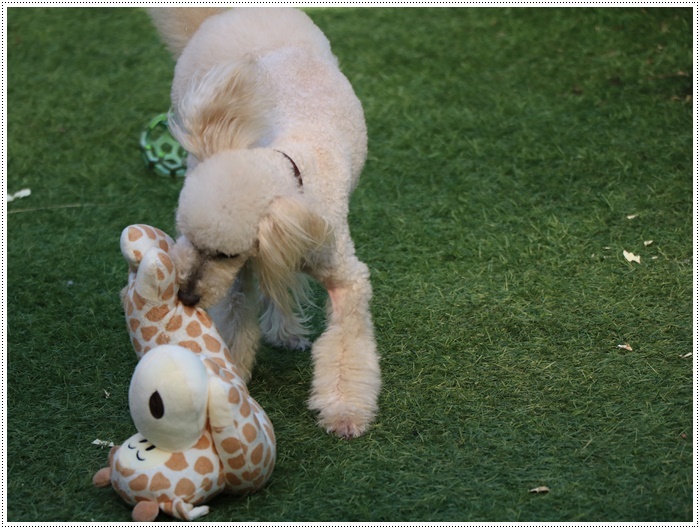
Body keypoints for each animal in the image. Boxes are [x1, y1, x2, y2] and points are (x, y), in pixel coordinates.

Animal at [144, 7, 380, 438]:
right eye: (186, 236)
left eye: (224, 253)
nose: (185, 296)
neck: (292, 162)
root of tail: (232, 10)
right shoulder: (242, 275)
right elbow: (237, 321)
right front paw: (229, 379)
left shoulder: (339, 272)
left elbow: (345, 343)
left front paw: (344, 410)